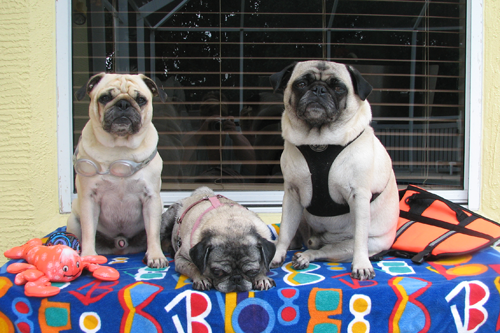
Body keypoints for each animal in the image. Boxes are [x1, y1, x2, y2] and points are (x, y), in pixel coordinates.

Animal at [66, 72, 170, 268]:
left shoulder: (151, 199)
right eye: (105, 98)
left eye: (141, 99)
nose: (123, 104)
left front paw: (155, 255)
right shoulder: (89, 199)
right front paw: (88, 256)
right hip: (74, 220)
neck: (120, 148)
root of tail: (120, 245)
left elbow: (153, 232)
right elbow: (89, 230)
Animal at [270, 61, 398, 278]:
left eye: (338, 88)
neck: (319, 141)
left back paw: (306, 257)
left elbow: (360, 239)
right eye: (301, 84)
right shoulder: (292, 195)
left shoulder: (359, 196)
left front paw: (361, 264)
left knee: (322, 251)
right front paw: (277, 254)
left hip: (354, 245)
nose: (319, 90)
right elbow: (285, 231)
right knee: (295, 238)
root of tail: (316, 239)